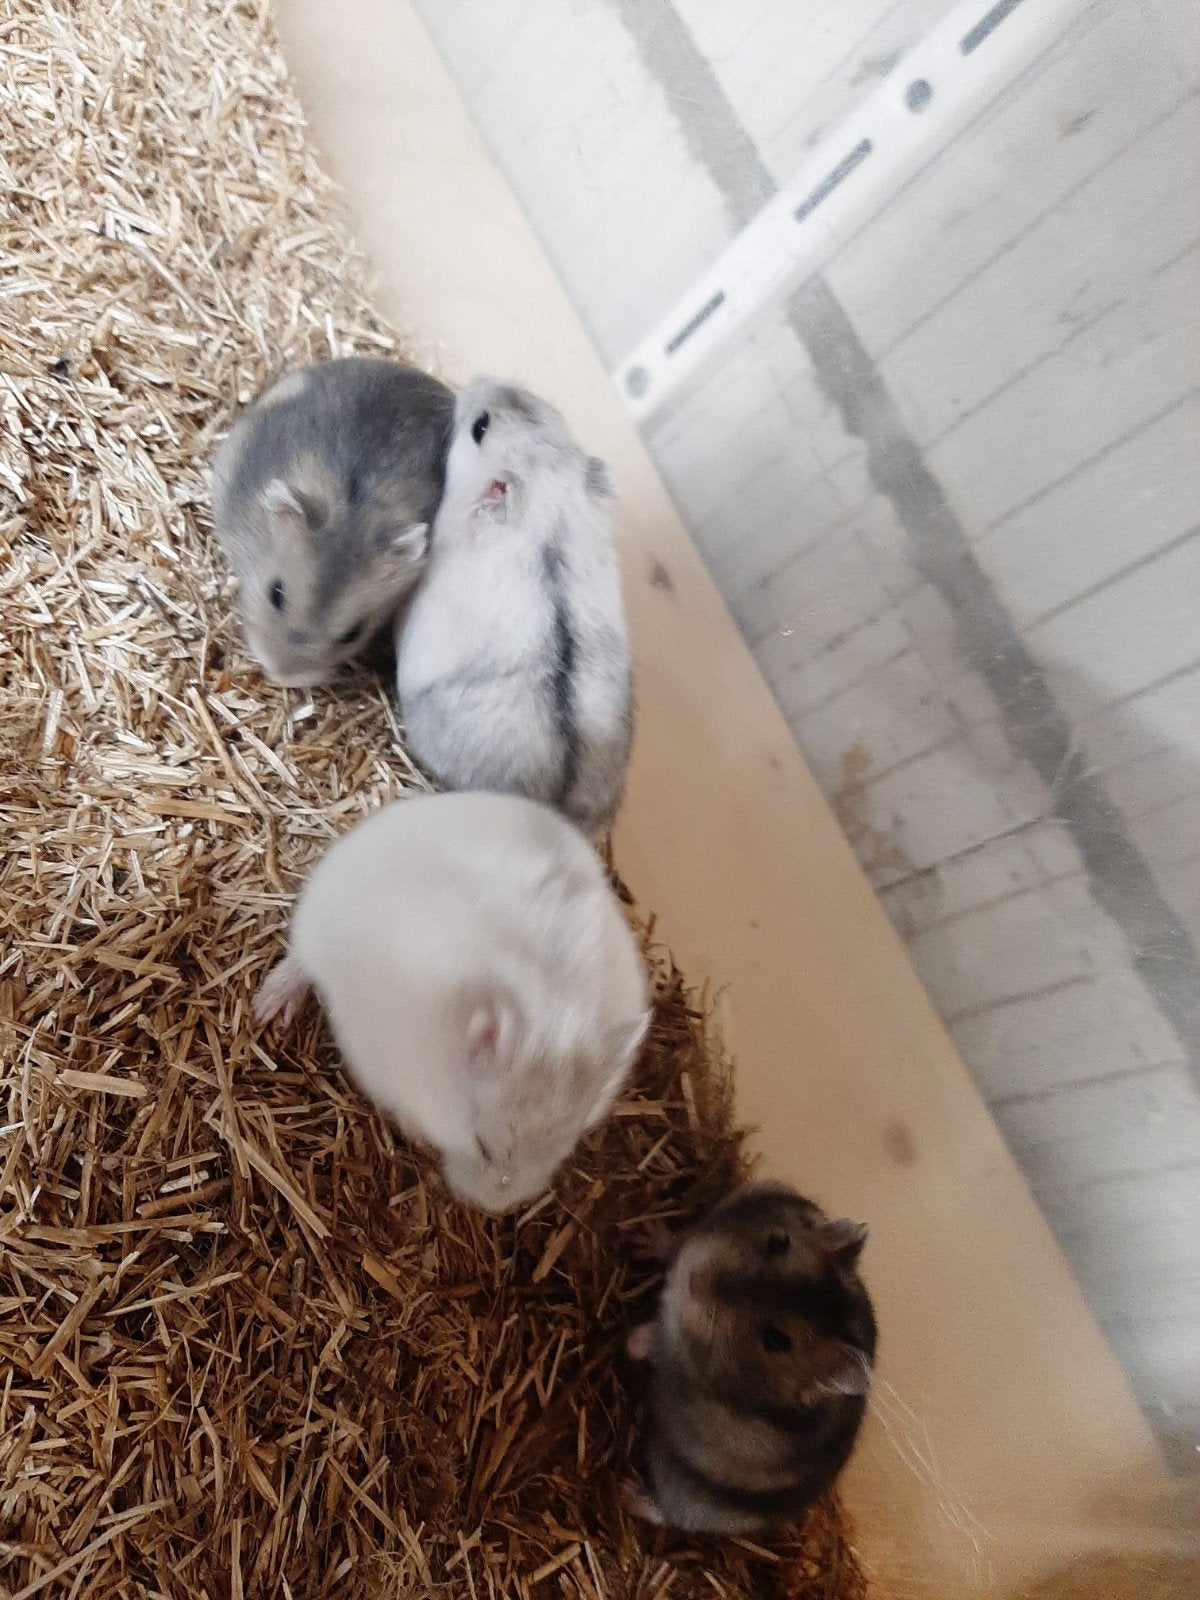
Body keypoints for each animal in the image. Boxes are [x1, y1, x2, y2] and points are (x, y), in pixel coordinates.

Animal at [254, 791, 649, 1214]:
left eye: (565, 1148)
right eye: (482, 1146)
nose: (491, 1208)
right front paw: (417, 1136)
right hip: (317, 922)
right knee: (298, 962)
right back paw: (267, 1008)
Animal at [623, 1183, 877, 1535]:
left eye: (776, 1339)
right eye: (777, 1242)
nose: (692, 1281)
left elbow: (658, 1342)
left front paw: (631, 1340)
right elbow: (677, 1243)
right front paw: (643, 1236)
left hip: (683, 1493)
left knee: (667, 1515)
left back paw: (626, 1490)